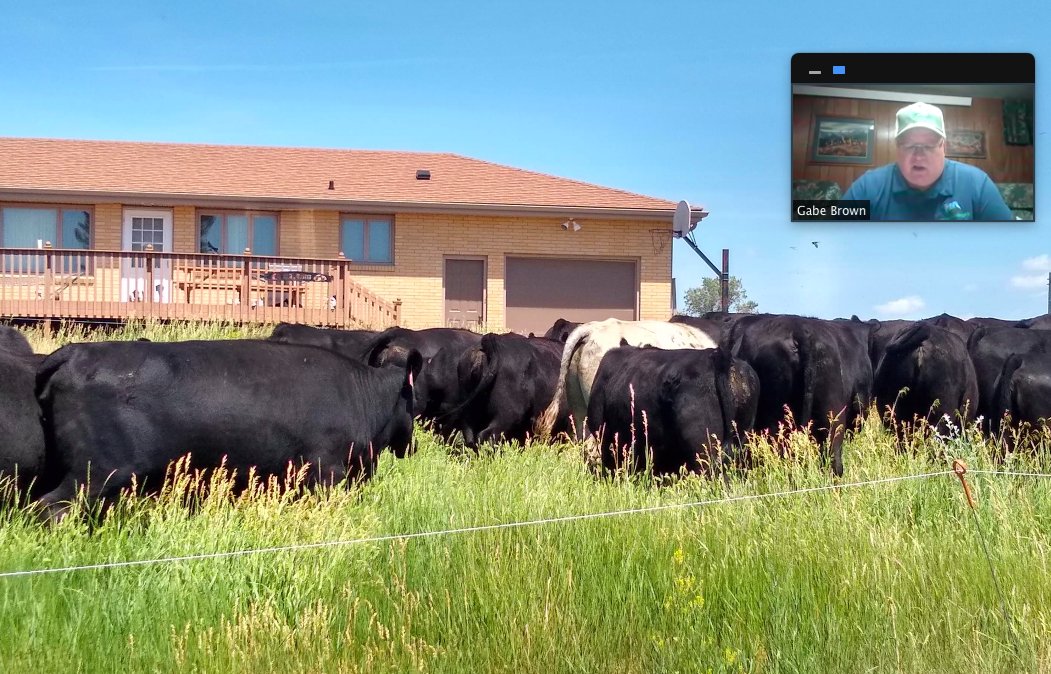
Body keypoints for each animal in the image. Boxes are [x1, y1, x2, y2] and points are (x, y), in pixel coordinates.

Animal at [34, 339, 422, 518]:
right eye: (414, 399)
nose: (414, 446)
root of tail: (73, 353)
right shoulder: (327, 474)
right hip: (93, 474)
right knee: (50, 508)